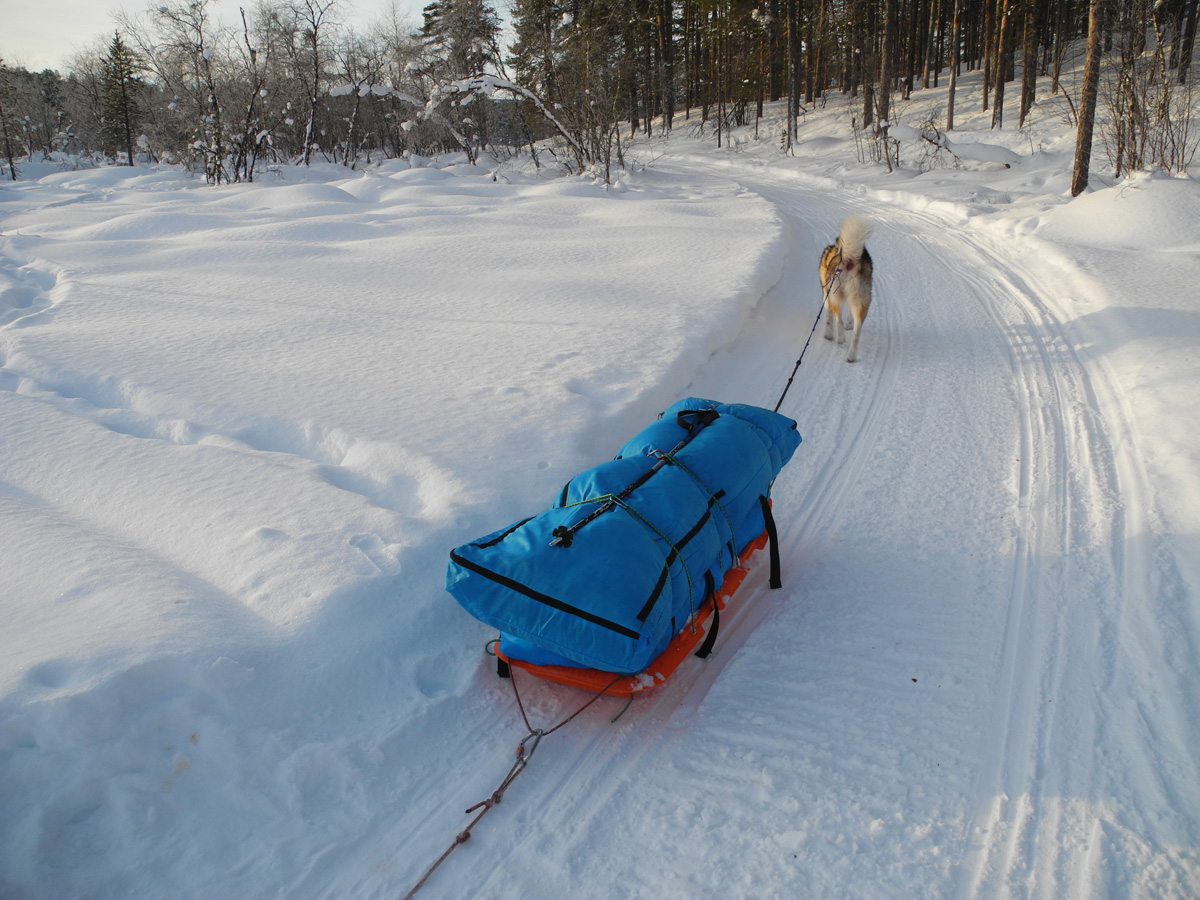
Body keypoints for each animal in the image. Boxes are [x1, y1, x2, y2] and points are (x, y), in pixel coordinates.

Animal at [816, 218, 873, 362]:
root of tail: (849, 258)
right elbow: (849, 316)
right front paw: (849, 324)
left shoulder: (826, 296)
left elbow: (828, 317)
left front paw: (828, 335)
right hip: (861, 298)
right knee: (857, 330)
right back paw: (851, 356)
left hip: (834, 296)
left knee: (838, 319)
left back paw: (841, 338)